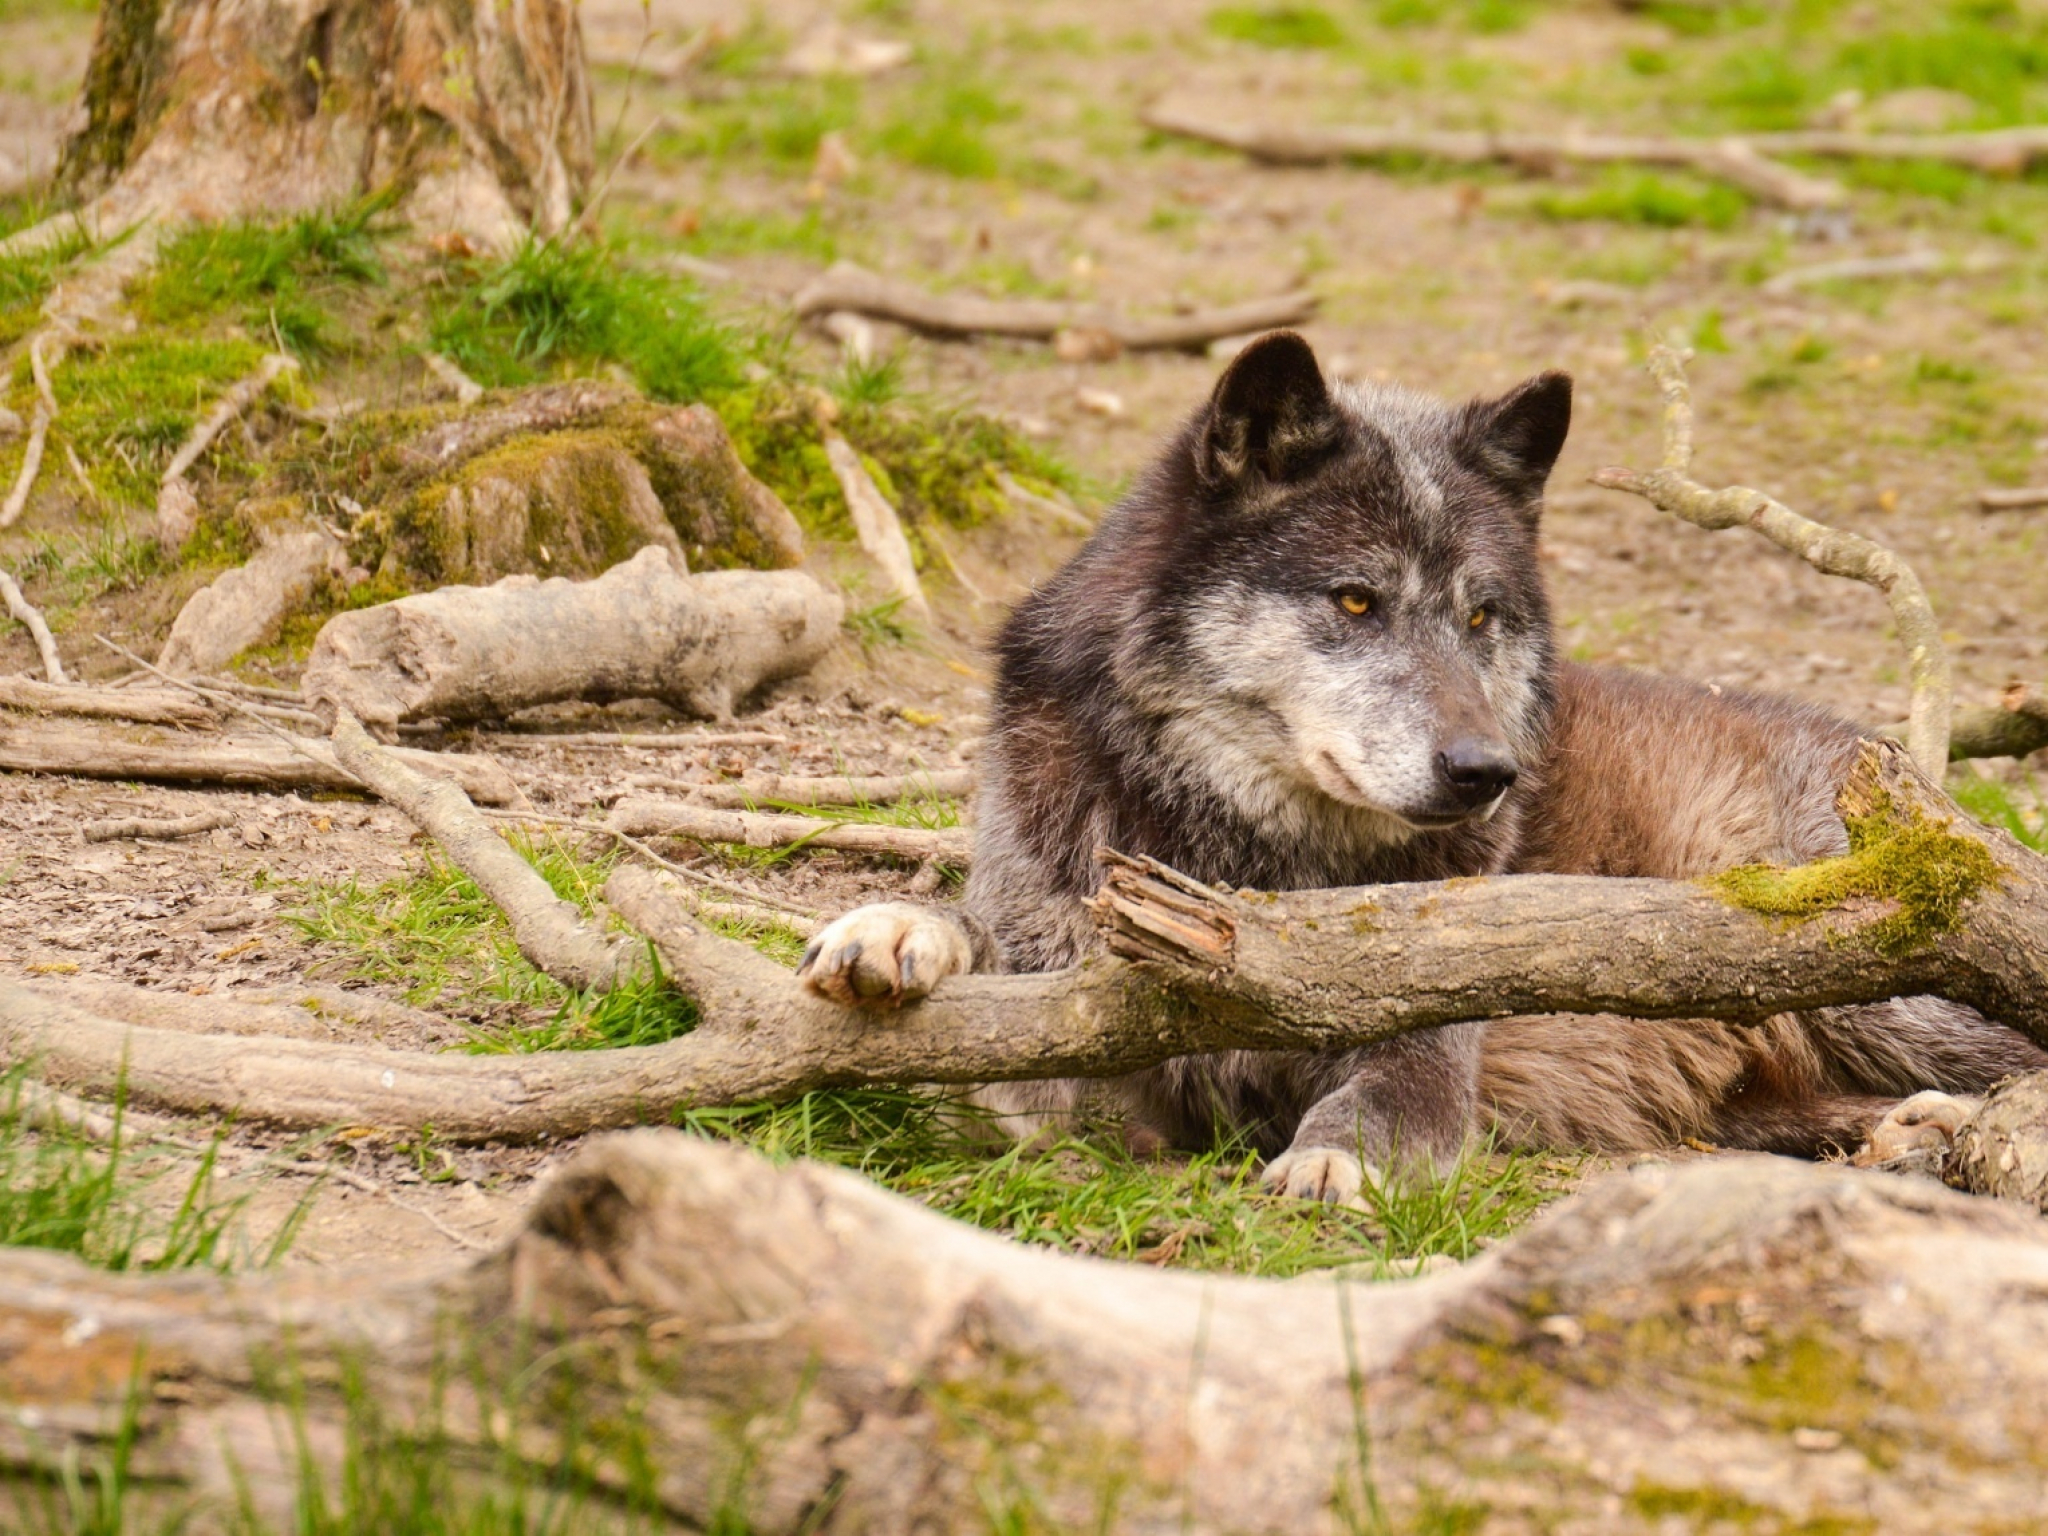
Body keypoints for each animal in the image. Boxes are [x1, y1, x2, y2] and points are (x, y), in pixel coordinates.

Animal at [794, 333, 2031, 1204]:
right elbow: (979, 945)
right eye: (1354, 600)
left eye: (1480, 616)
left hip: (1889, 980)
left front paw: (1336, 1160)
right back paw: (1910, 1134)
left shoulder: (1431, 1033)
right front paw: (892, 931)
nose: (1486, 771)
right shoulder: (1069, 1003)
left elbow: (1391, 1090)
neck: (1247, 862)